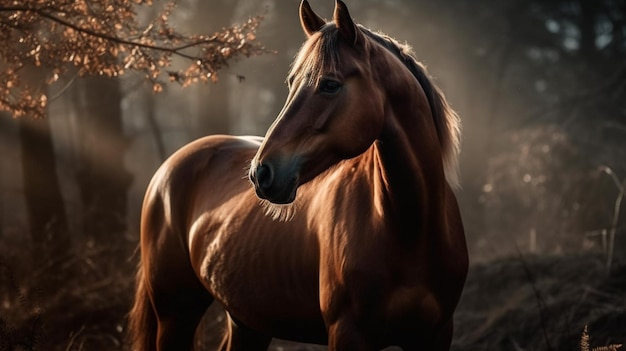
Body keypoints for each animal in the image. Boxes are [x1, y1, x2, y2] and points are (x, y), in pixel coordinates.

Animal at [129, 1, 466, 350]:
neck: (411, 228)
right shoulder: (347, 333)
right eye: (292, 82)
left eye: (330, 84)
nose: (260, 173)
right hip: (175, 315)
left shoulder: (437, 334)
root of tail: (167, 170)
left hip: (248, 321)